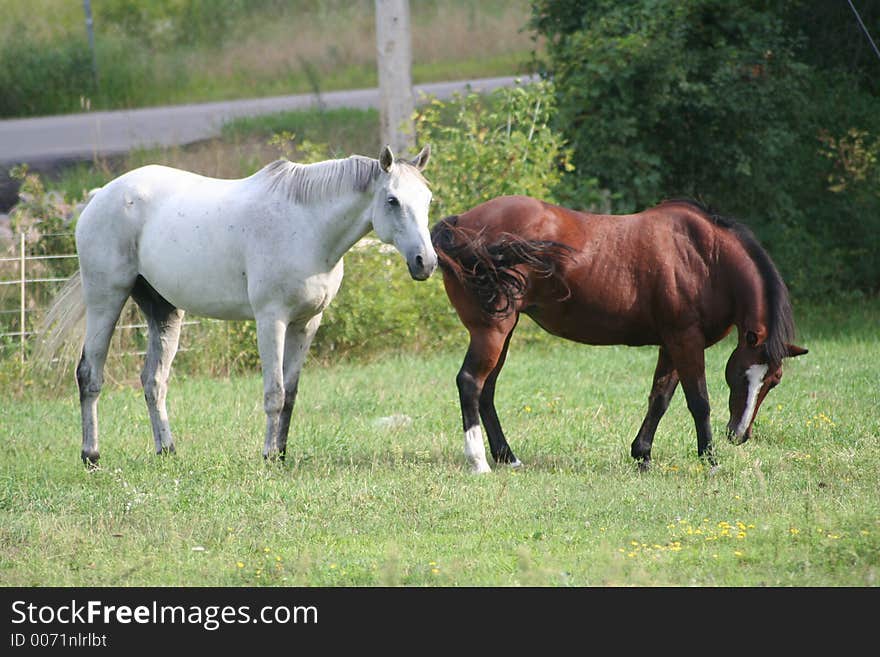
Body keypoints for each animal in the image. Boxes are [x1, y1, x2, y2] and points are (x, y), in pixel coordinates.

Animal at [44, 145, 436, 462]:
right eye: (392, 200)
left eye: (428, 199)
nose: (426, 262)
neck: (307, 224)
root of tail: (101, 195)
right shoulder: (271, 320)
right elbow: (274, 392)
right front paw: (268, 456)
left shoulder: (307, 322)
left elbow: (291, 394)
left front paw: (281, 454)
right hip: (106, 299)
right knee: (89, 375)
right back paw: (91, 455)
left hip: (164, 311)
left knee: (154, 381)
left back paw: (167, 451)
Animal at [430, 195, 808, 472]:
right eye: (742, 376)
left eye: (773, 381)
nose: (739, 435)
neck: (704, 257)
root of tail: (459, 224)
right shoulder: (686, 340)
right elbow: (699, 401)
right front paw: (710, 460)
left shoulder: (672, 343)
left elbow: (660, 399)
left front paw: (642, 455)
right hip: (491, 331)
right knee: (470, 383)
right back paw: (479, 462)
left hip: (504, 331)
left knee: (487, 390)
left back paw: (508, 457)